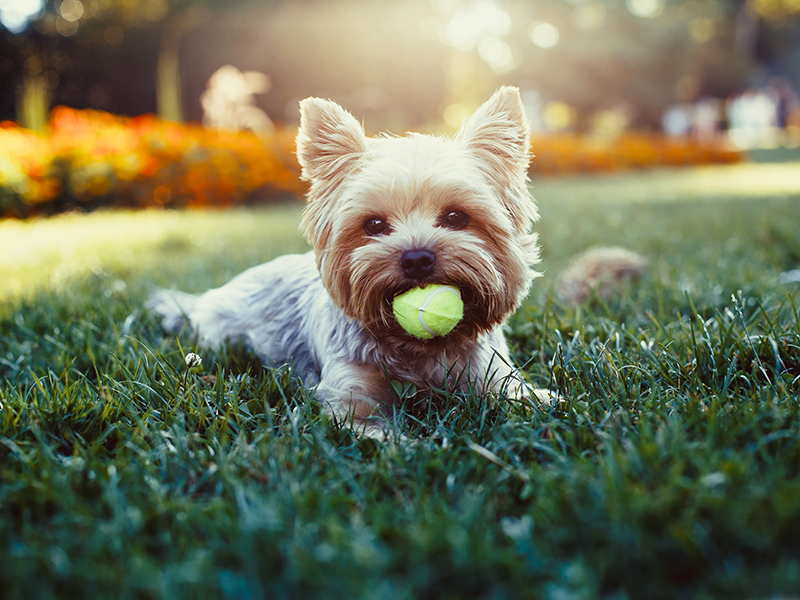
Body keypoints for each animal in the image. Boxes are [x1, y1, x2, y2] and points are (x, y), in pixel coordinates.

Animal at [147, 86, 552, 438]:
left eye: (456, 217)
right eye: (373, 225)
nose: (417, 258)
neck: (419, 349)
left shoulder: (493, 375)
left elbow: (529, 399)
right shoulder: (350, 397)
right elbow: (375, 430)